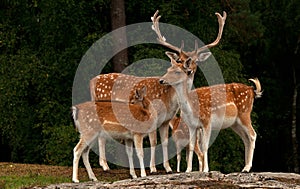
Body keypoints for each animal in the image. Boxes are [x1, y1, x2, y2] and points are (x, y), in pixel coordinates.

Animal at [89, 9, 227, 173]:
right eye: (179, 60)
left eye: (195, 61)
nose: (189, 69)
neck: (169, 100)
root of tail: (91, 82)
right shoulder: (152, 115)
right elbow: (154, 141)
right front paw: (153, 168)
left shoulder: (166, 120)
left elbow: (165, 142)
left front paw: (168, 168)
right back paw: (105, 165)